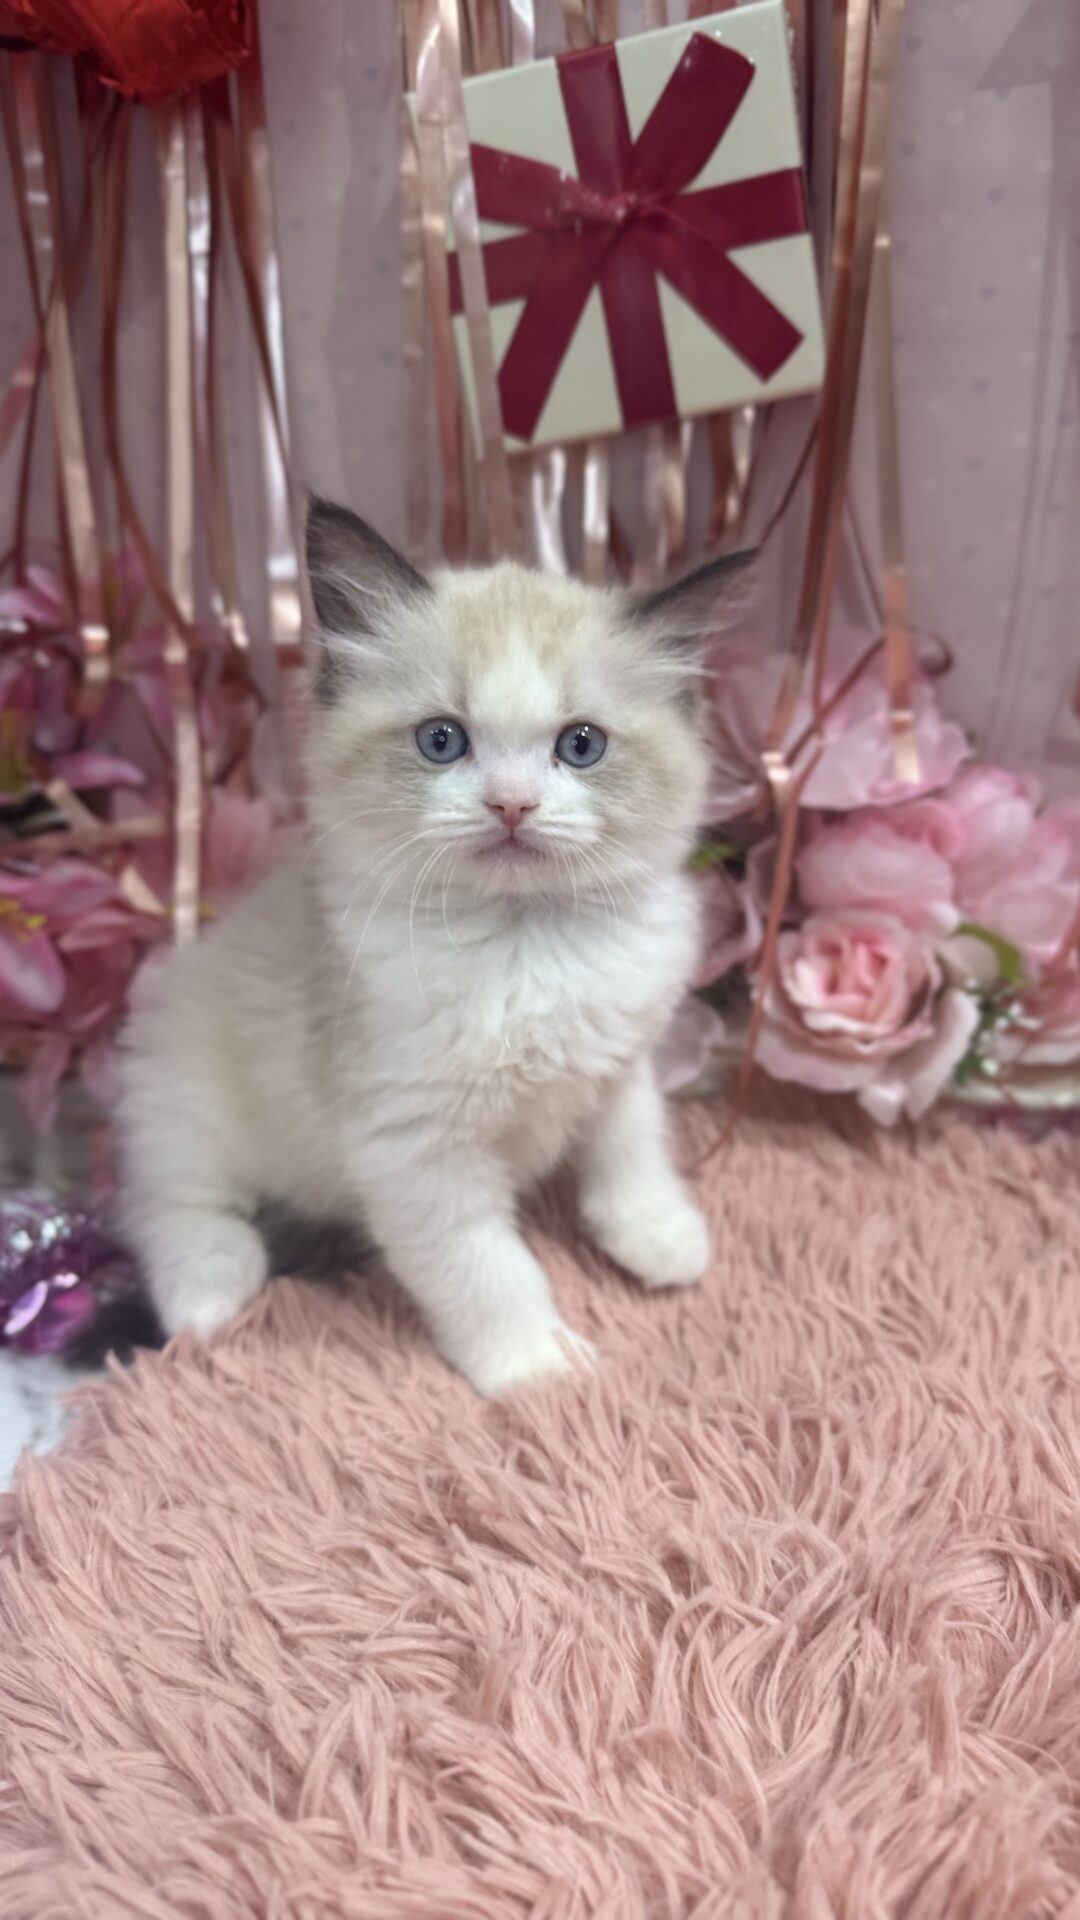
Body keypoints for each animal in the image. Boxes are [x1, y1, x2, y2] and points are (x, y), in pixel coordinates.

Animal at [116, 499, 748, 1396]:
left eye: (581, 745)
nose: (513, 806)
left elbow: (630, 1152)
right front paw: (539, 1369)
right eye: (442, 741)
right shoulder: (416, 1149)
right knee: (169, 1205)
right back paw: (213, 1296)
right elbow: (488, 1269)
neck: (527, 944)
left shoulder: (620, 1064)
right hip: (182, 1093)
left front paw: (660, 1238)